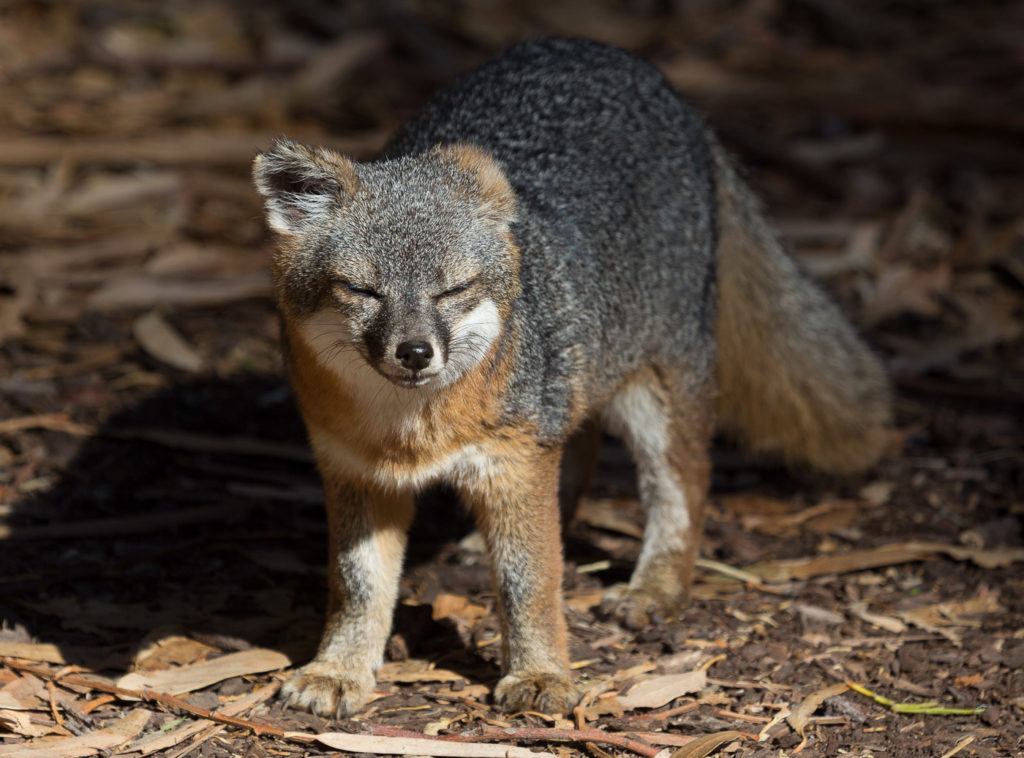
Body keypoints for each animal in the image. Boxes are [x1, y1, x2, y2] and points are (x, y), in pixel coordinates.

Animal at [249, 38, 888, 721]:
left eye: (453, 290)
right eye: (363, 291)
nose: (416, 352)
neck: (409, 431)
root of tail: (613, 57)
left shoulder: (514, 463)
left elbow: (530, 581)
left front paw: (541, 674)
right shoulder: (356, 473)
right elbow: (358, 584)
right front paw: (339, 669)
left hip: (655, 398)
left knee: (685, 486)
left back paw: (655, 588)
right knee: (580, 447)